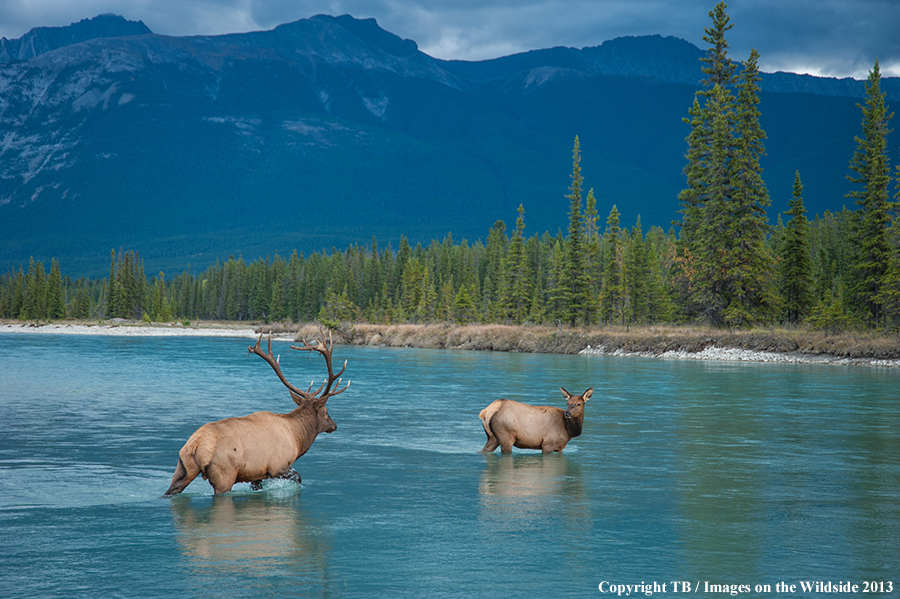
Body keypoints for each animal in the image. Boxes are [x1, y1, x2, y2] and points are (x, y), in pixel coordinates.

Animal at [163, 330, 350, 494]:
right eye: (326, 411)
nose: (334, 425)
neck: (297, 439)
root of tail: (196, 444)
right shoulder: (277, 465)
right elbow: (298, 477)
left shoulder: (257, 474)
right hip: (224, 474)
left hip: (183, 467)